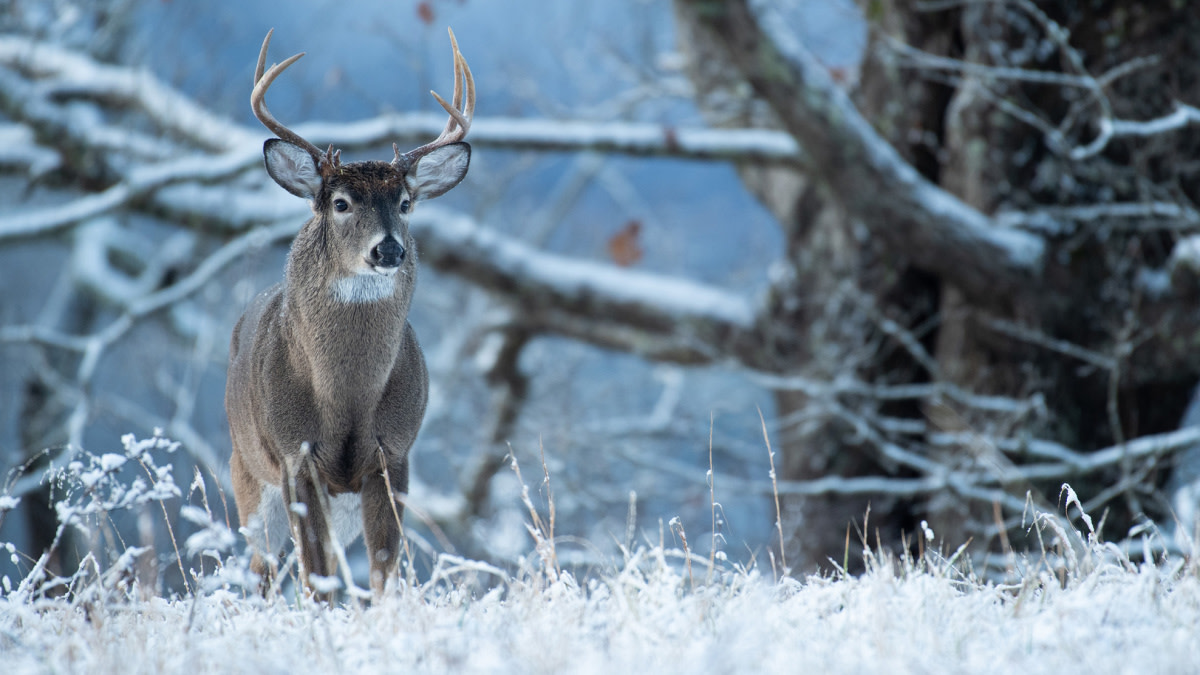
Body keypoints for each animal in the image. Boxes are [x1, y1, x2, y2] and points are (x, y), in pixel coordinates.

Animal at [225, 27, 472, 593]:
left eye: (405, 203)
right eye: (340, 203)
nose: (389, 250)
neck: (346, 399)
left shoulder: (393, 454)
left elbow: (382, 571)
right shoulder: (295, 457)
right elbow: (316, 578)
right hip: (246, 472)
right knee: (262, 570)